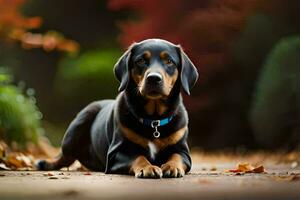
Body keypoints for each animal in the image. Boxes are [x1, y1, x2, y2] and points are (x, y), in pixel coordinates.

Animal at [36, 38, 198, 178]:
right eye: (140, 60)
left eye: (169, 61)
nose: (153, 78)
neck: (154, 120)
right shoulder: (116, 153)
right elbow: (138, 156)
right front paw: (148, 168)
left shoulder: (183, 150)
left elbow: (177, 156)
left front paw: (171, 167)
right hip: (76, 129)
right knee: (65, 156)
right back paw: (45, 163)